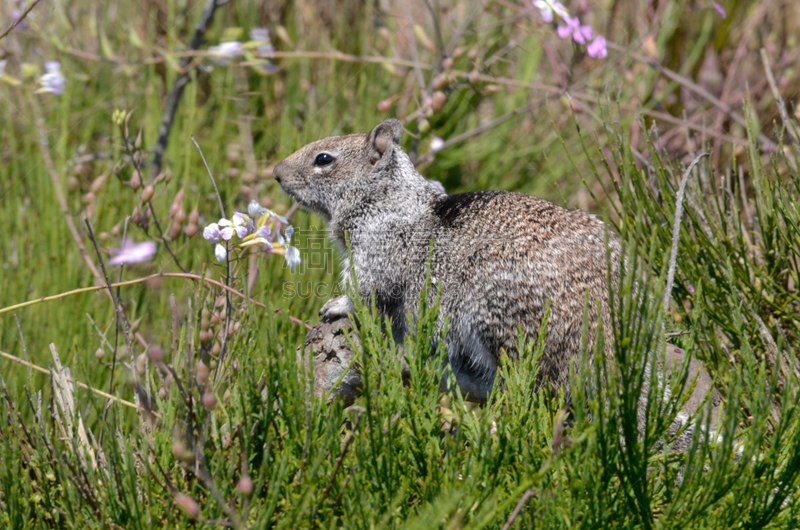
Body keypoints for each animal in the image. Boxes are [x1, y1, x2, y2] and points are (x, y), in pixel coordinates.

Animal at [274, 119, 620, 400]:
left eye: (324, 158)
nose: (276, 172)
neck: (387, 199)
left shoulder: (377, 256)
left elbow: (366, 293)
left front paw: (337, 305)